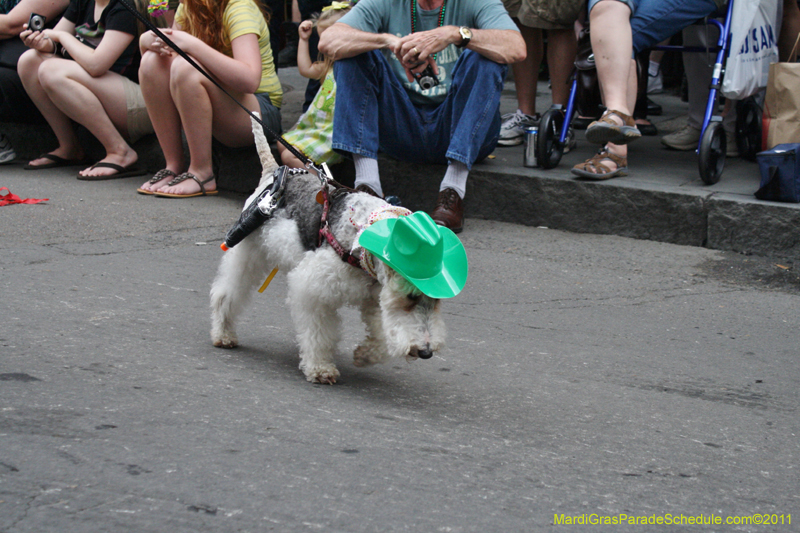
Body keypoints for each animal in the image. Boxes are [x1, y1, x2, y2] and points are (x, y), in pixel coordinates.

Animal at [209, 117, 466, 382]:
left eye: (437, 300)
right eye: (411, 297)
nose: (426, 352)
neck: (363, 240)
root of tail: (272, 172)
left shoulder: (375, 296)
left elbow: (383, 333)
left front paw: (365, 355)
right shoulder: (312, 288)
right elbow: (319, 333)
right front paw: (321, 368)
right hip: (247, 251)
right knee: (225, 293)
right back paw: (223, 334)